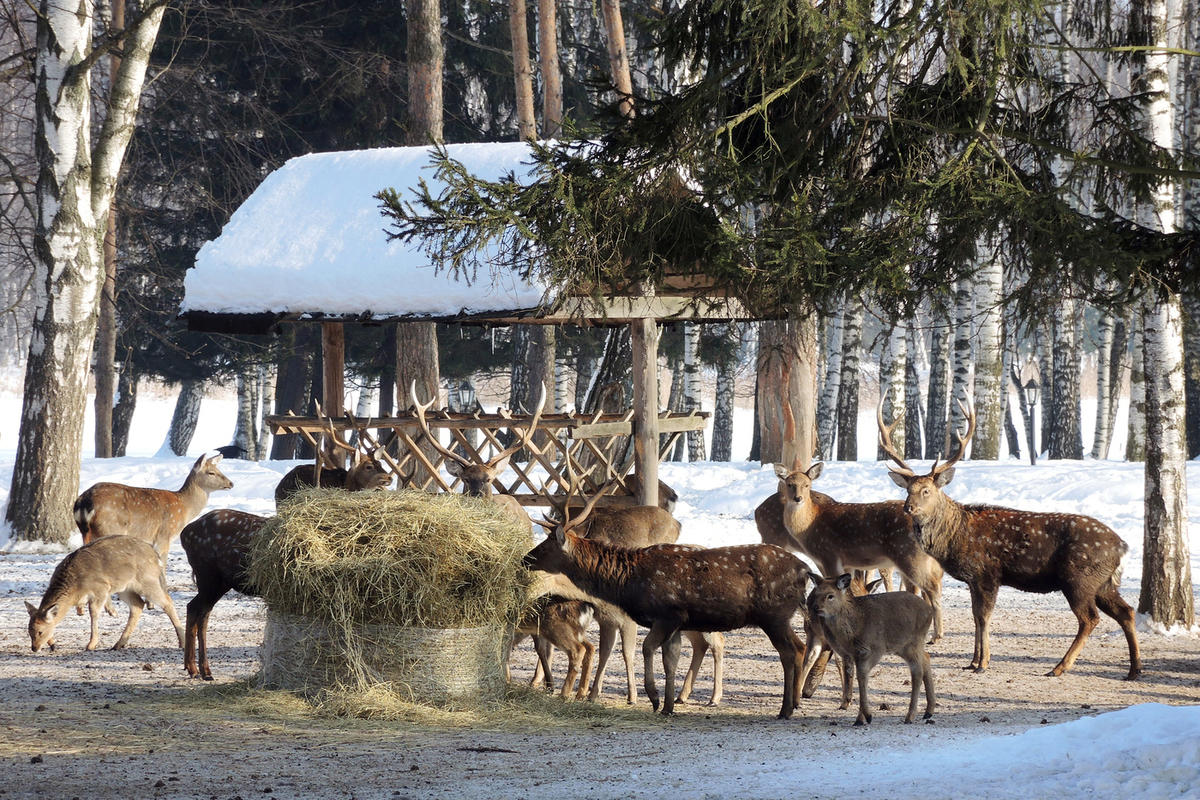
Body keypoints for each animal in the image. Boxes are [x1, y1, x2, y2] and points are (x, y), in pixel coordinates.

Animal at [26, 534, 187, 652]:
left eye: (40, 631)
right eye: (29, 631)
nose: (34, 648)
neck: (75, 589)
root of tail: (156, 556)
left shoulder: (101, 589)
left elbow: (94, 613)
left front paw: (91, 644)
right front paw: (53, 644)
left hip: (147, 581)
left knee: (167, 601)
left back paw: (182, 642)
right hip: (125, 588)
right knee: (138, 604)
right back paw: (118, 644)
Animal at [76, 453, 235, 566]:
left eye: (219, 469)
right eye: (211, 472)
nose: (231, 483)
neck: (184, 508)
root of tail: (85, 502)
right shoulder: (164, 535)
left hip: (88, 531)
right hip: (110, 528)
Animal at [178, 510, 266, 681]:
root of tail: (184, 533)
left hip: (219, 583)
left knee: (197, 609)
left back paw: (194, 669)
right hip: (208, 576)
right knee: (198, 611)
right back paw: (202, 670)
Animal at [806, 568, 936, 724]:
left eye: (830, 595)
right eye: (815, 594)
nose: (815, 608)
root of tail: (929, 612)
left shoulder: (874, 649)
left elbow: (863, 677)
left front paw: (865, 717)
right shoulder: (850, 654)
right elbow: (858, 676)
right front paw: (861, 718)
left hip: (912, 642)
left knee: (917, 671)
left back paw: (910, 716)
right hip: (903, 646)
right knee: (926, 657)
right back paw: (928, 712)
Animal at [883, 400, 1142, 681]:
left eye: (926, 490)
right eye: (907, 490)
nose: (908, 507)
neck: (956, 535)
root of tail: (1123, 547)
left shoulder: (987, 574)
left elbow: (984, 617)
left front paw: (983, 663)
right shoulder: (973, 580)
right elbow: (975, 616)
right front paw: (972, 661)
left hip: (1079, 578)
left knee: (1089, 618)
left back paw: (1059, 667)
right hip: (1103, 582)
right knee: (1126, 611)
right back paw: (1134, 668)